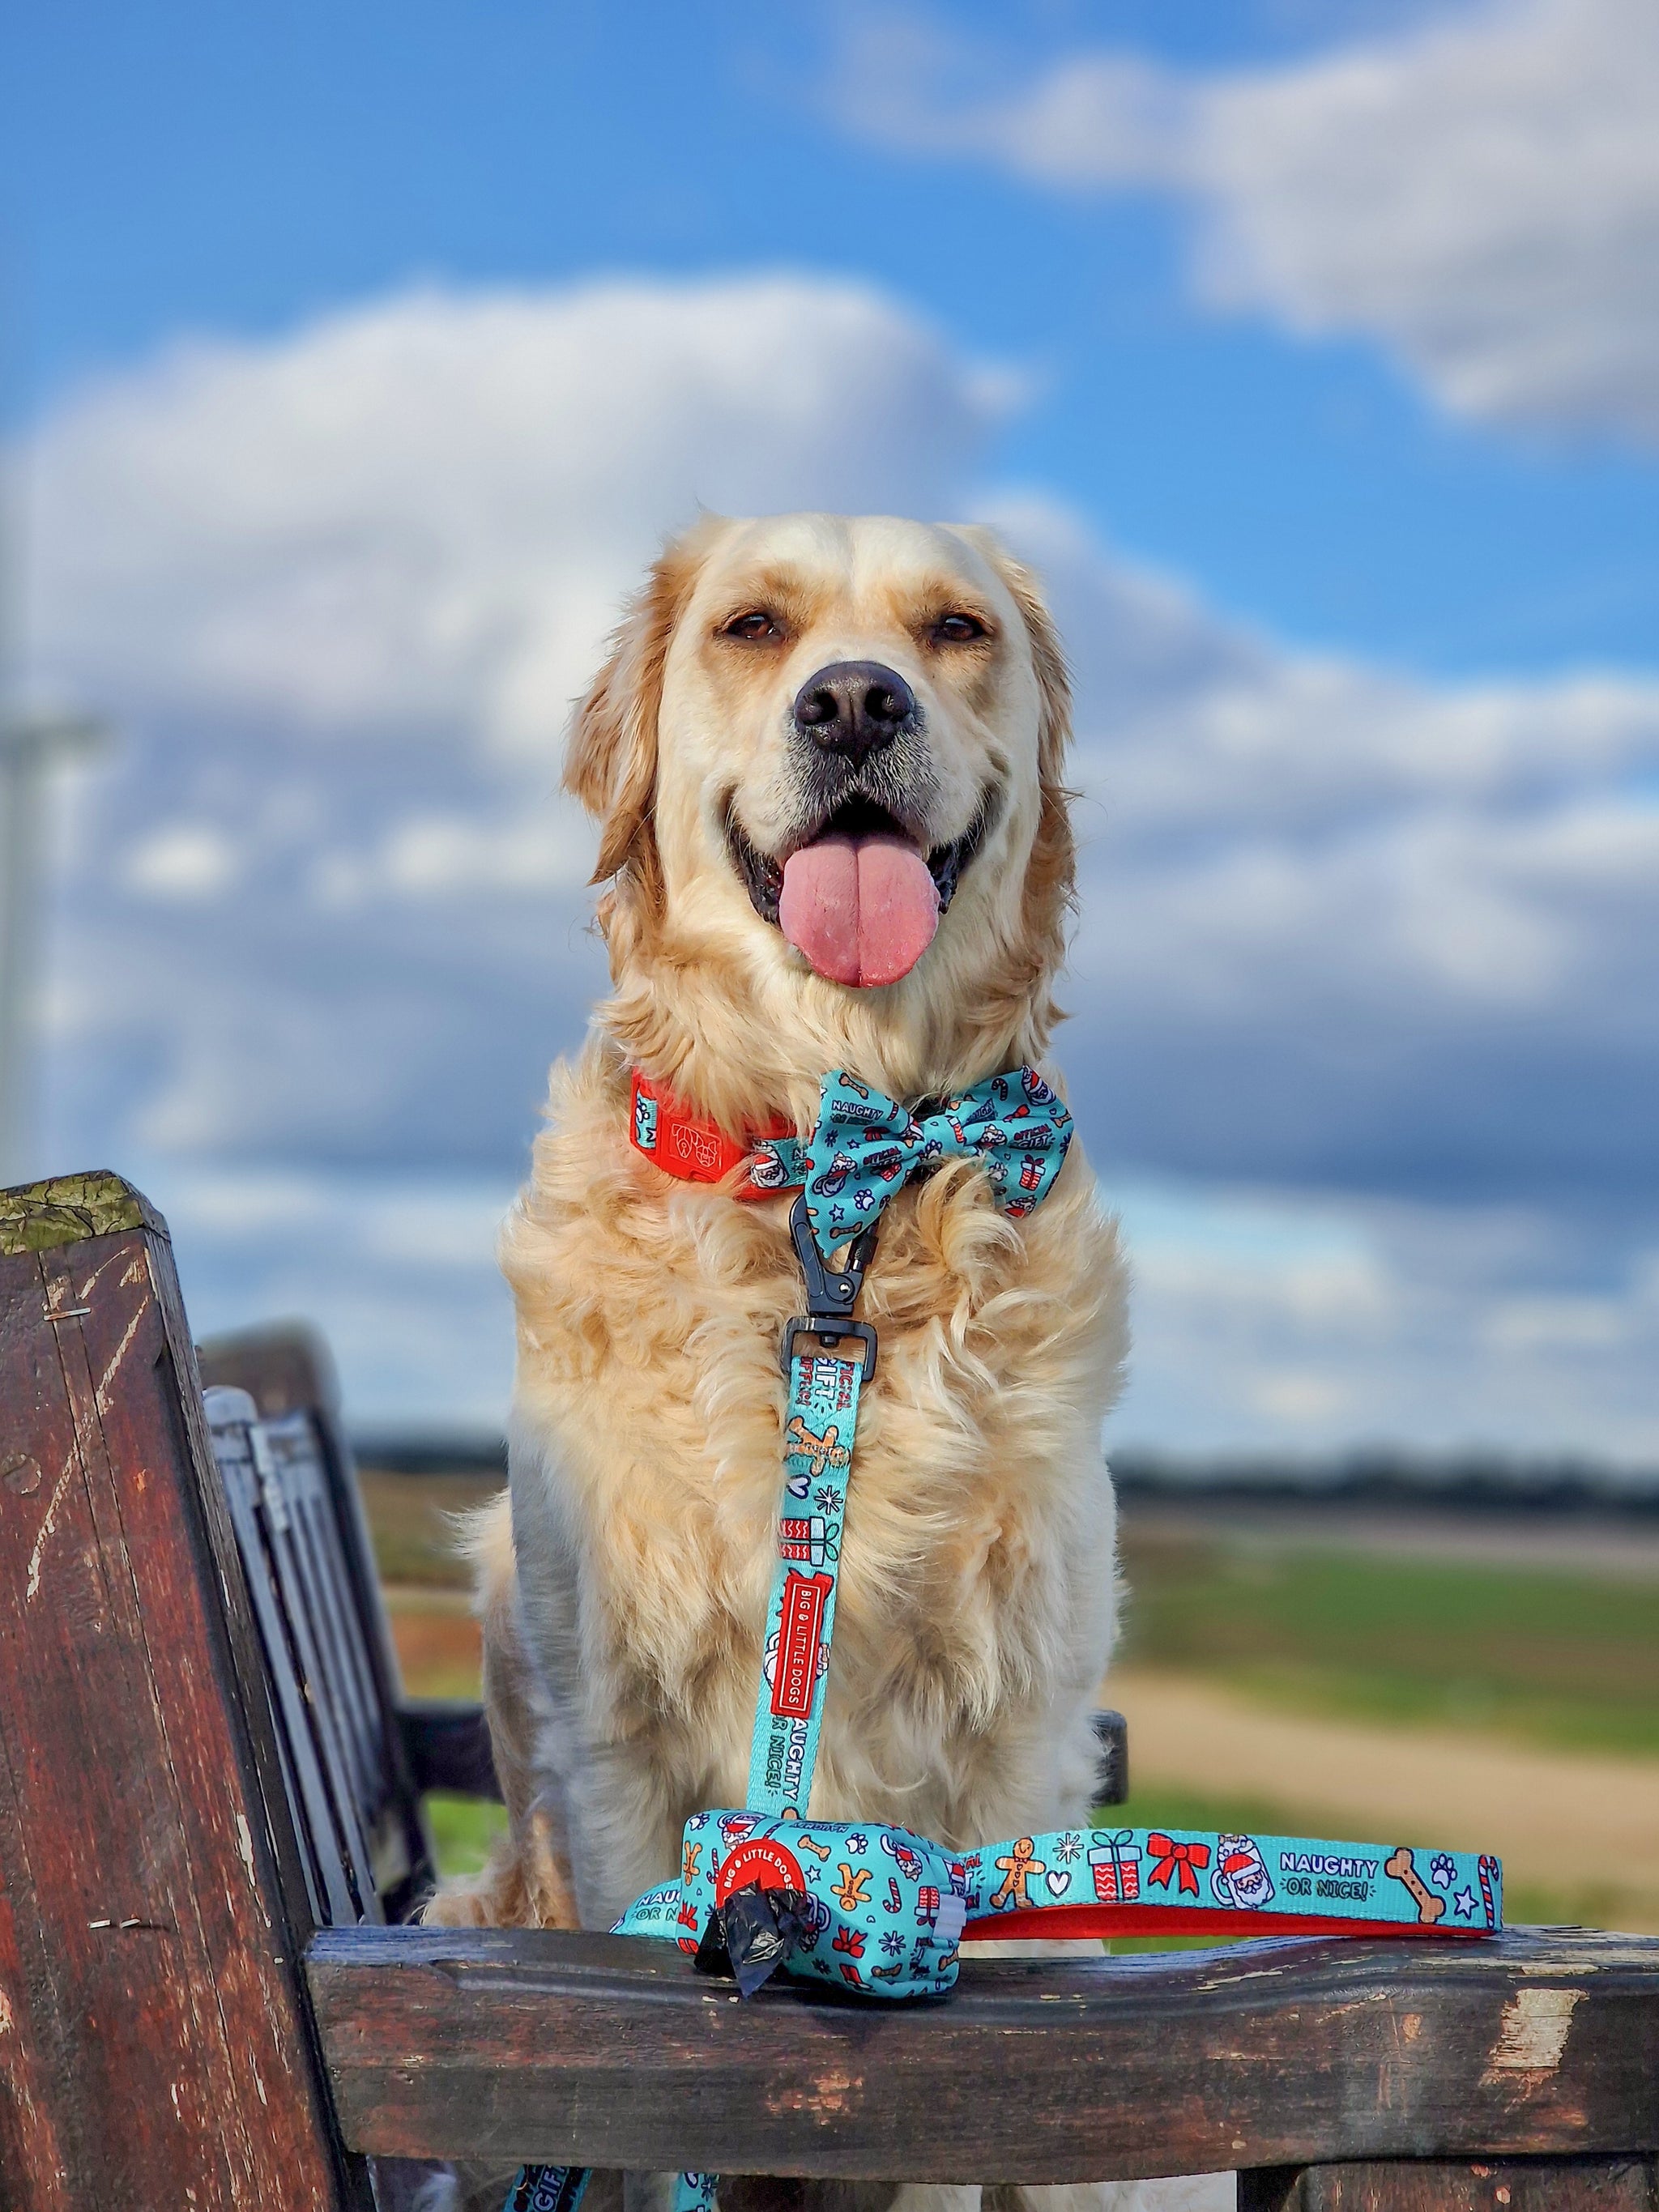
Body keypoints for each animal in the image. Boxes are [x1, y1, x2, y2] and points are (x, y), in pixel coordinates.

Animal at [429, 513, 1230, 2212]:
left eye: (953, 629)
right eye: (751, 625)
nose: (855, 703)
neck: (838, 1191)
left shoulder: (1014, 1767)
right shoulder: (613, 1756)